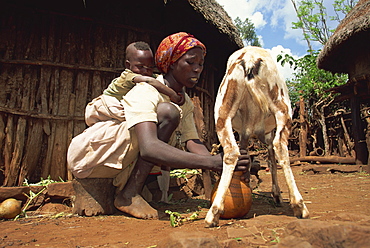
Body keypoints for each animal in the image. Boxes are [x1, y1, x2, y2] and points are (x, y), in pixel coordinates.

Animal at [205, 46, 310, 227]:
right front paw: (276, 194)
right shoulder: (266, 133)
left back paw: (215, 212)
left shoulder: (245, 131)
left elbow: (245, 151)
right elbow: (271, 158)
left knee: (232, 152)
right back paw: (299, 205)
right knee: (279, 147)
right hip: (282, 108)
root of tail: (250, 58)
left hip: (223, 112)